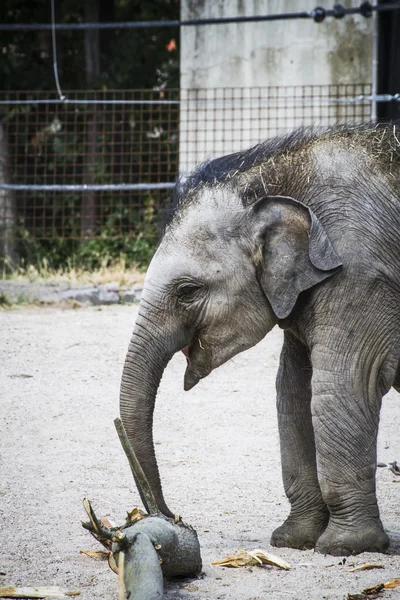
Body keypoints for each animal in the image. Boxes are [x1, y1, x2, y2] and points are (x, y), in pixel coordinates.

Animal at [119, 124, 400, 556]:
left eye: (187, 290)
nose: (171, 516)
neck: (275, 179)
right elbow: (293, 392)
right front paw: (293, 540)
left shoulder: (361, 273)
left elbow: (343, 385)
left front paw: (347, 547)